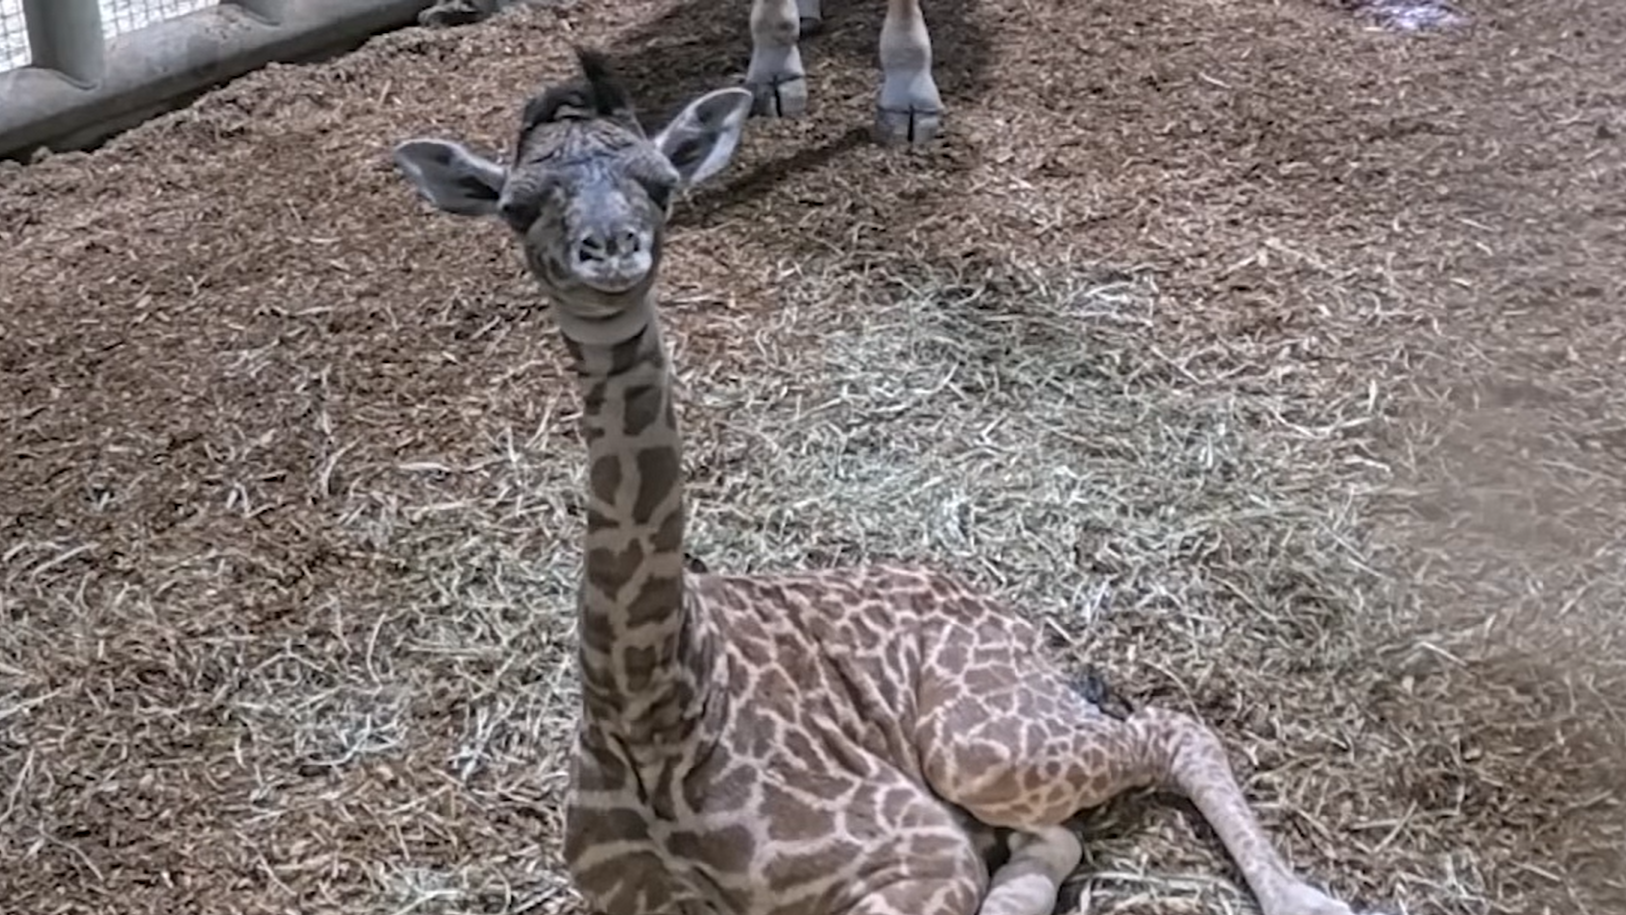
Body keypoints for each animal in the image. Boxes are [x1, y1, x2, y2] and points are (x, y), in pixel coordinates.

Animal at [390, 48, 1362, 915]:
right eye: (517, 208)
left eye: (663, 184)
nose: (612, 251)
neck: (652, 706)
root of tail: (1022, 626)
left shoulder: (917, 857)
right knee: (1057, 833)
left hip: (981, 744)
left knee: (1171, 729)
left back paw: (1307, 898)